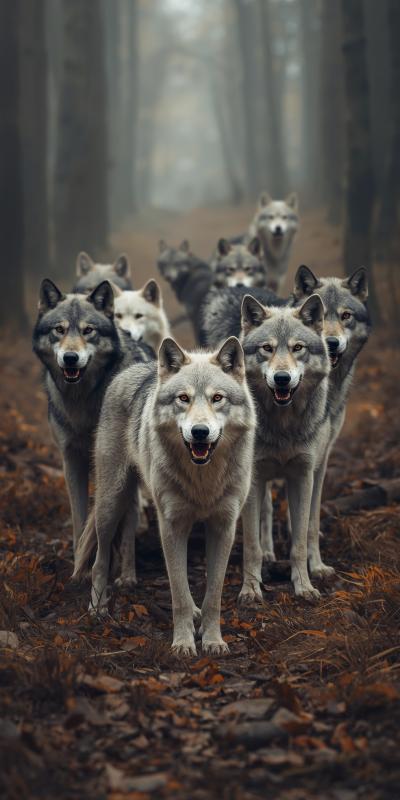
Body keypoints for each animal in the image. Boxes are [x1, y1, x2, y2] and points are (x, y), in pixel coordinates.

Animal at [32, 279, 152, 557]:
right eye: (59, 330)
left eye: (88, 331)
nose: (70, 358)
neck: (82, 400)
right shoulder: (71, 458)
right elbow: (80, 519)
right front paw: (79, 559)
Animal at [73, 337, 256, 655]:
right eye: (183, 398)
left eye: (217, 398)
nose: (199, 432)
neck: (203, 479)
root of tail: (136, 368)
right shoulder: (171, 526)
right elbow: (178, 592)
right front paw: (183, 643)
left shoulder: (224, 527)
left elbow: (213, 594)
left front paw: (212, 640)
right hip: (111, 503)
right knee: (100, 559)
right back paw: (97, 608)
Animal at [203, 290, 331, 601]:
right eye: (267, 348)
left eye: (298, 348)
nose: (281, 378)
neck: (282, 426)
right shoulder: (255, 478)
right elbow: (252, 546)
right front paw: (251, 590)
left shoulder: (302, 476)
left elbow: (299, 542)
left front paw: (304, 586)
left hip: (318, 472)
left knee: (310, 525)